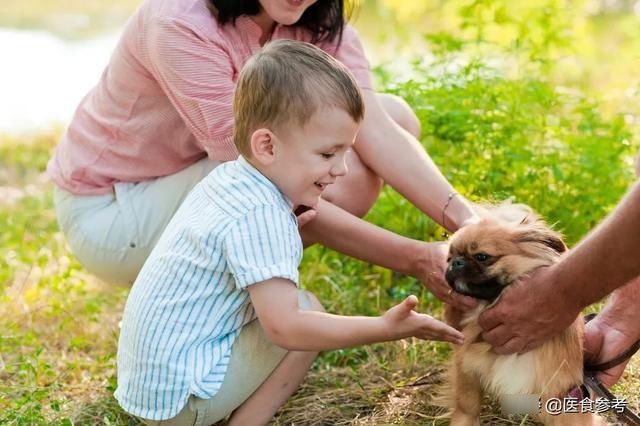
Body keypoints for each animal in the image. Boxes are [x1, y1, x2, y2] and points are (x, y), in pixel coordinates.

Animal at [440, 205, 600, 424]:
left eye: (482, 256)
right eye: (449, 257)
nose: (456, 262)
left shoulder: (562, 391)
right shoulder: (466, 369)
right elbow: (467, 405)